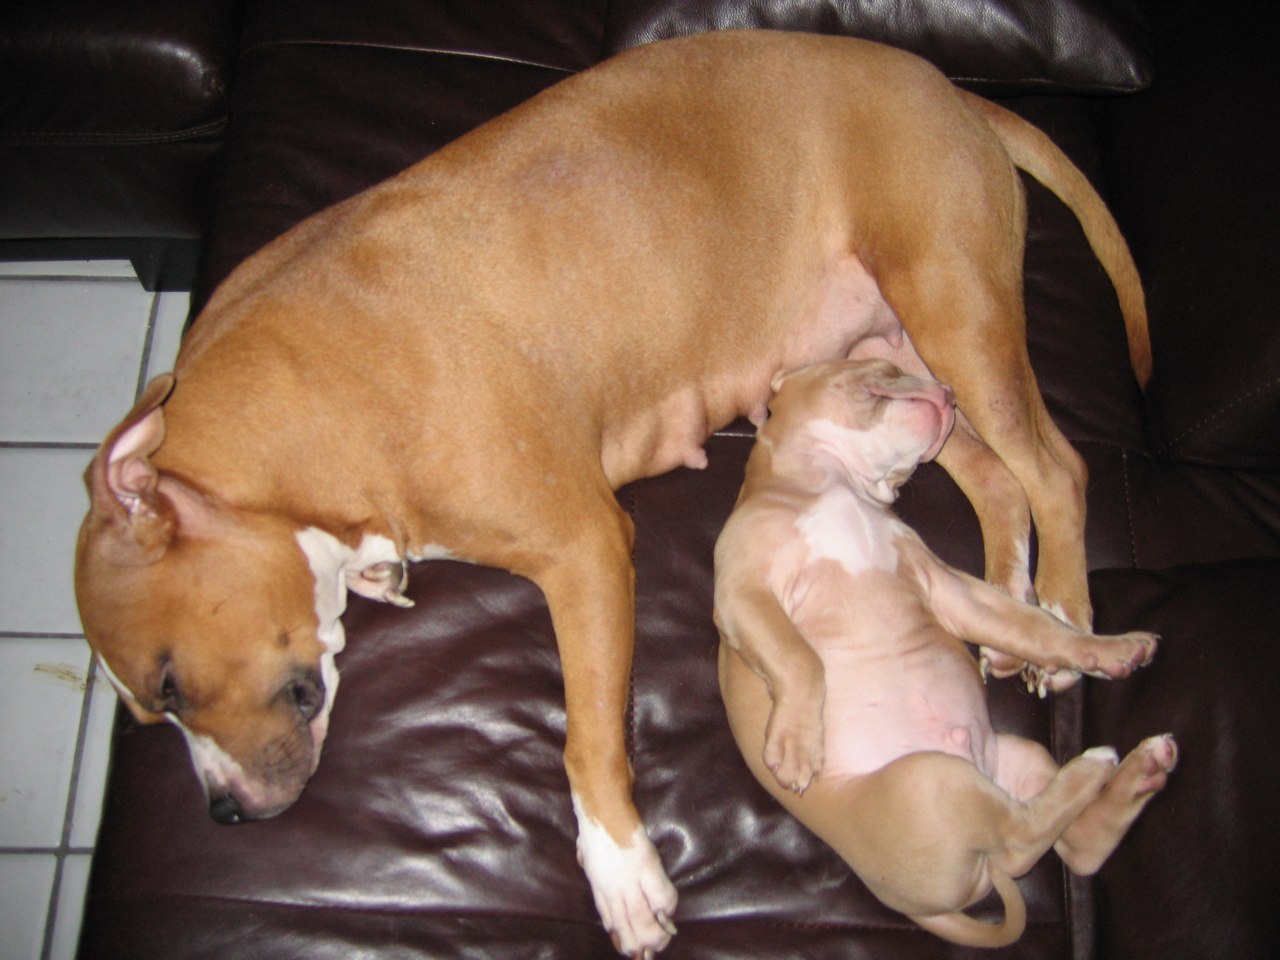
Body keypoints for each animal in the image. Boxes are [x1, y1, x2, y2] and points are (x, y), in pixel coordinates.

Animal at [714, 358, 1175, 947]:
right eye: (883, 367)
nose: (951, 392)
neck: (834, 482)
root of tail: (924, 907)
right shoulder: (743, 591)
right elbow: (800, 657)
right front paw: (798, 743)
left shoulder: (953, 588)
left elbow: (1037, 627)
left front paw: (1108, 650)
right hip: (929, 783)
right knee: (1023, 840)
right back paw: (1100, 767)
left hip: (1017, 761)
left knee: (1073, 846)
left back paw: (1139, 767)